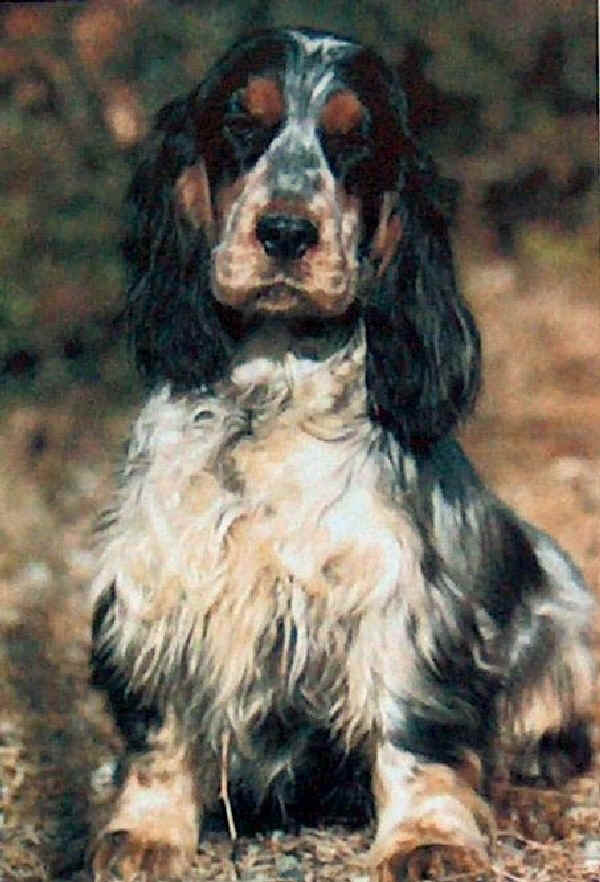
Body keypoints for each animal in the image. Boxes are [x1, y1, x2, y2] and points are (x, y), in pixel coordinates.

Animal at [89, 27, 596, 880]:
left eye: (355, 141)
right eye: (242, 122)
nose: (287, 233)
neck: (268, 393)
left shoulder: (399, 598)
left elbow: (412, 727)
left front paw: (427, 838)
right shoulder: (160, 580)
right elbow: (161, 727)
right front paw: (145, 832)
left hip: (564, 616)